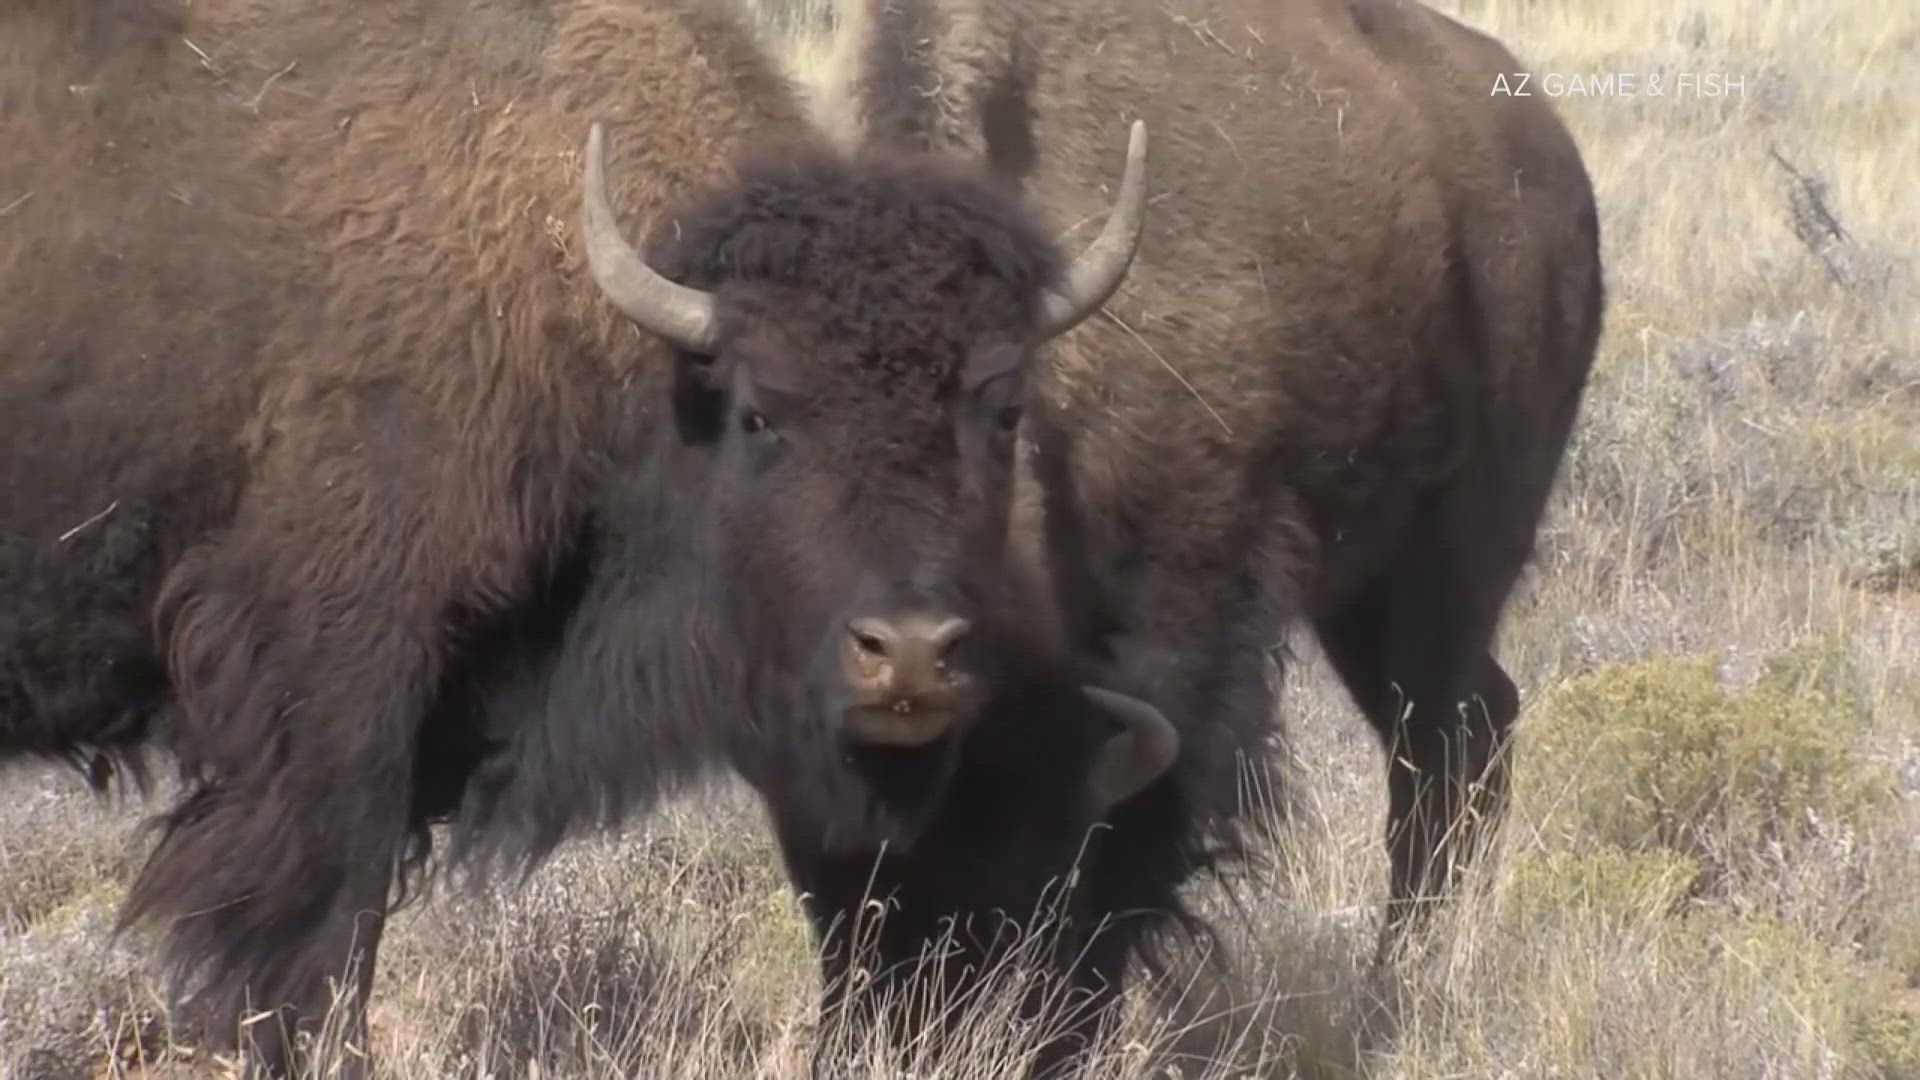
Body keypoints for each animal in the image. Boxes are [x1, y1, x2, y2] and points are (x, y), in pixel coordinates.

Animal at [810, 0, 1605, 1014]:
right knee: (1473, 727)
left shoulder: (1192, 585)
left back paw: (1401, 977)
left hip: (1457, 551)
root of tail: (1552, 154)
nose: (899, 1019)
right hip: (1364, 597)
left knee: (1442, 744)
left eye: (1018, 866)